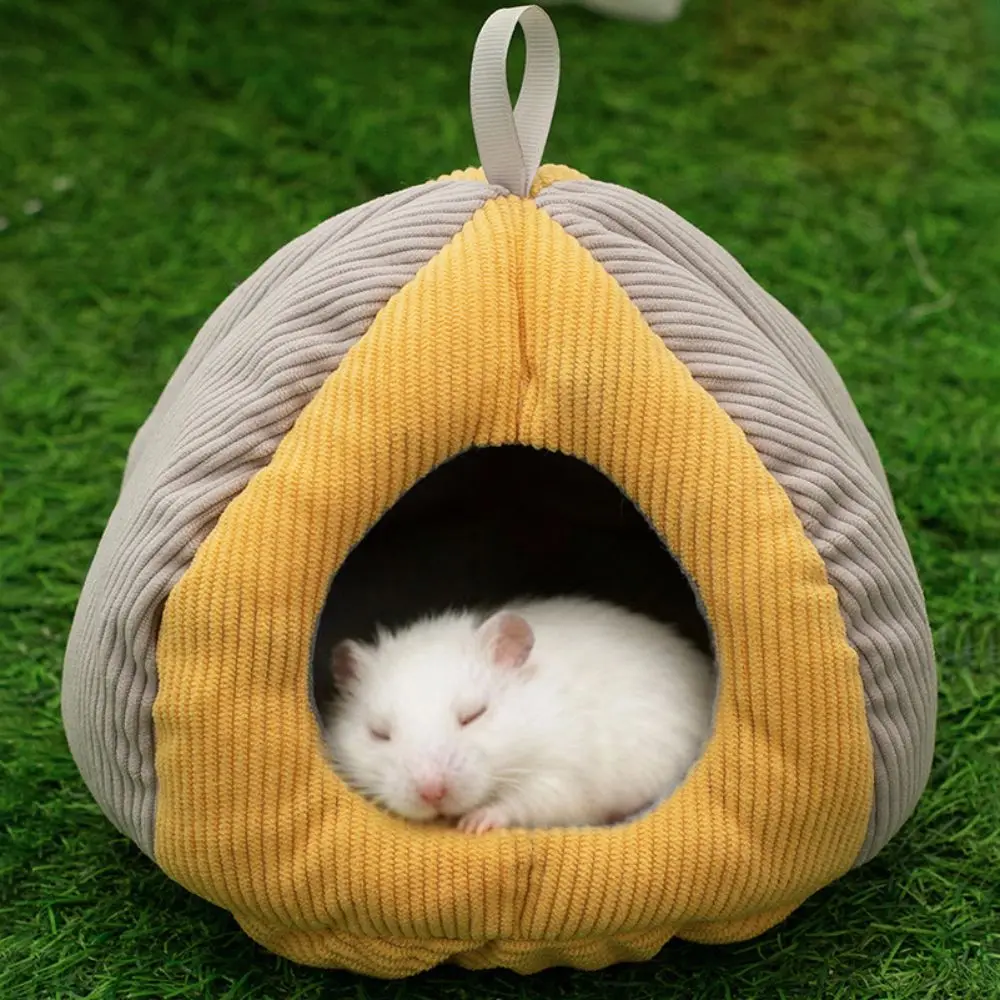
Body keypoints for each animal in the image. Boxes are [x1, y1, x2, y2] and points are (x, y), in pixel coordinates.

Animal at [322, 596, 716, 833]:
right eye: (379, 733)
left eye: (474, 714)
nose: (432, 793)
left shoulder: (562, 772)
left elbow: (526, 801)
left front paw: (474, 822)